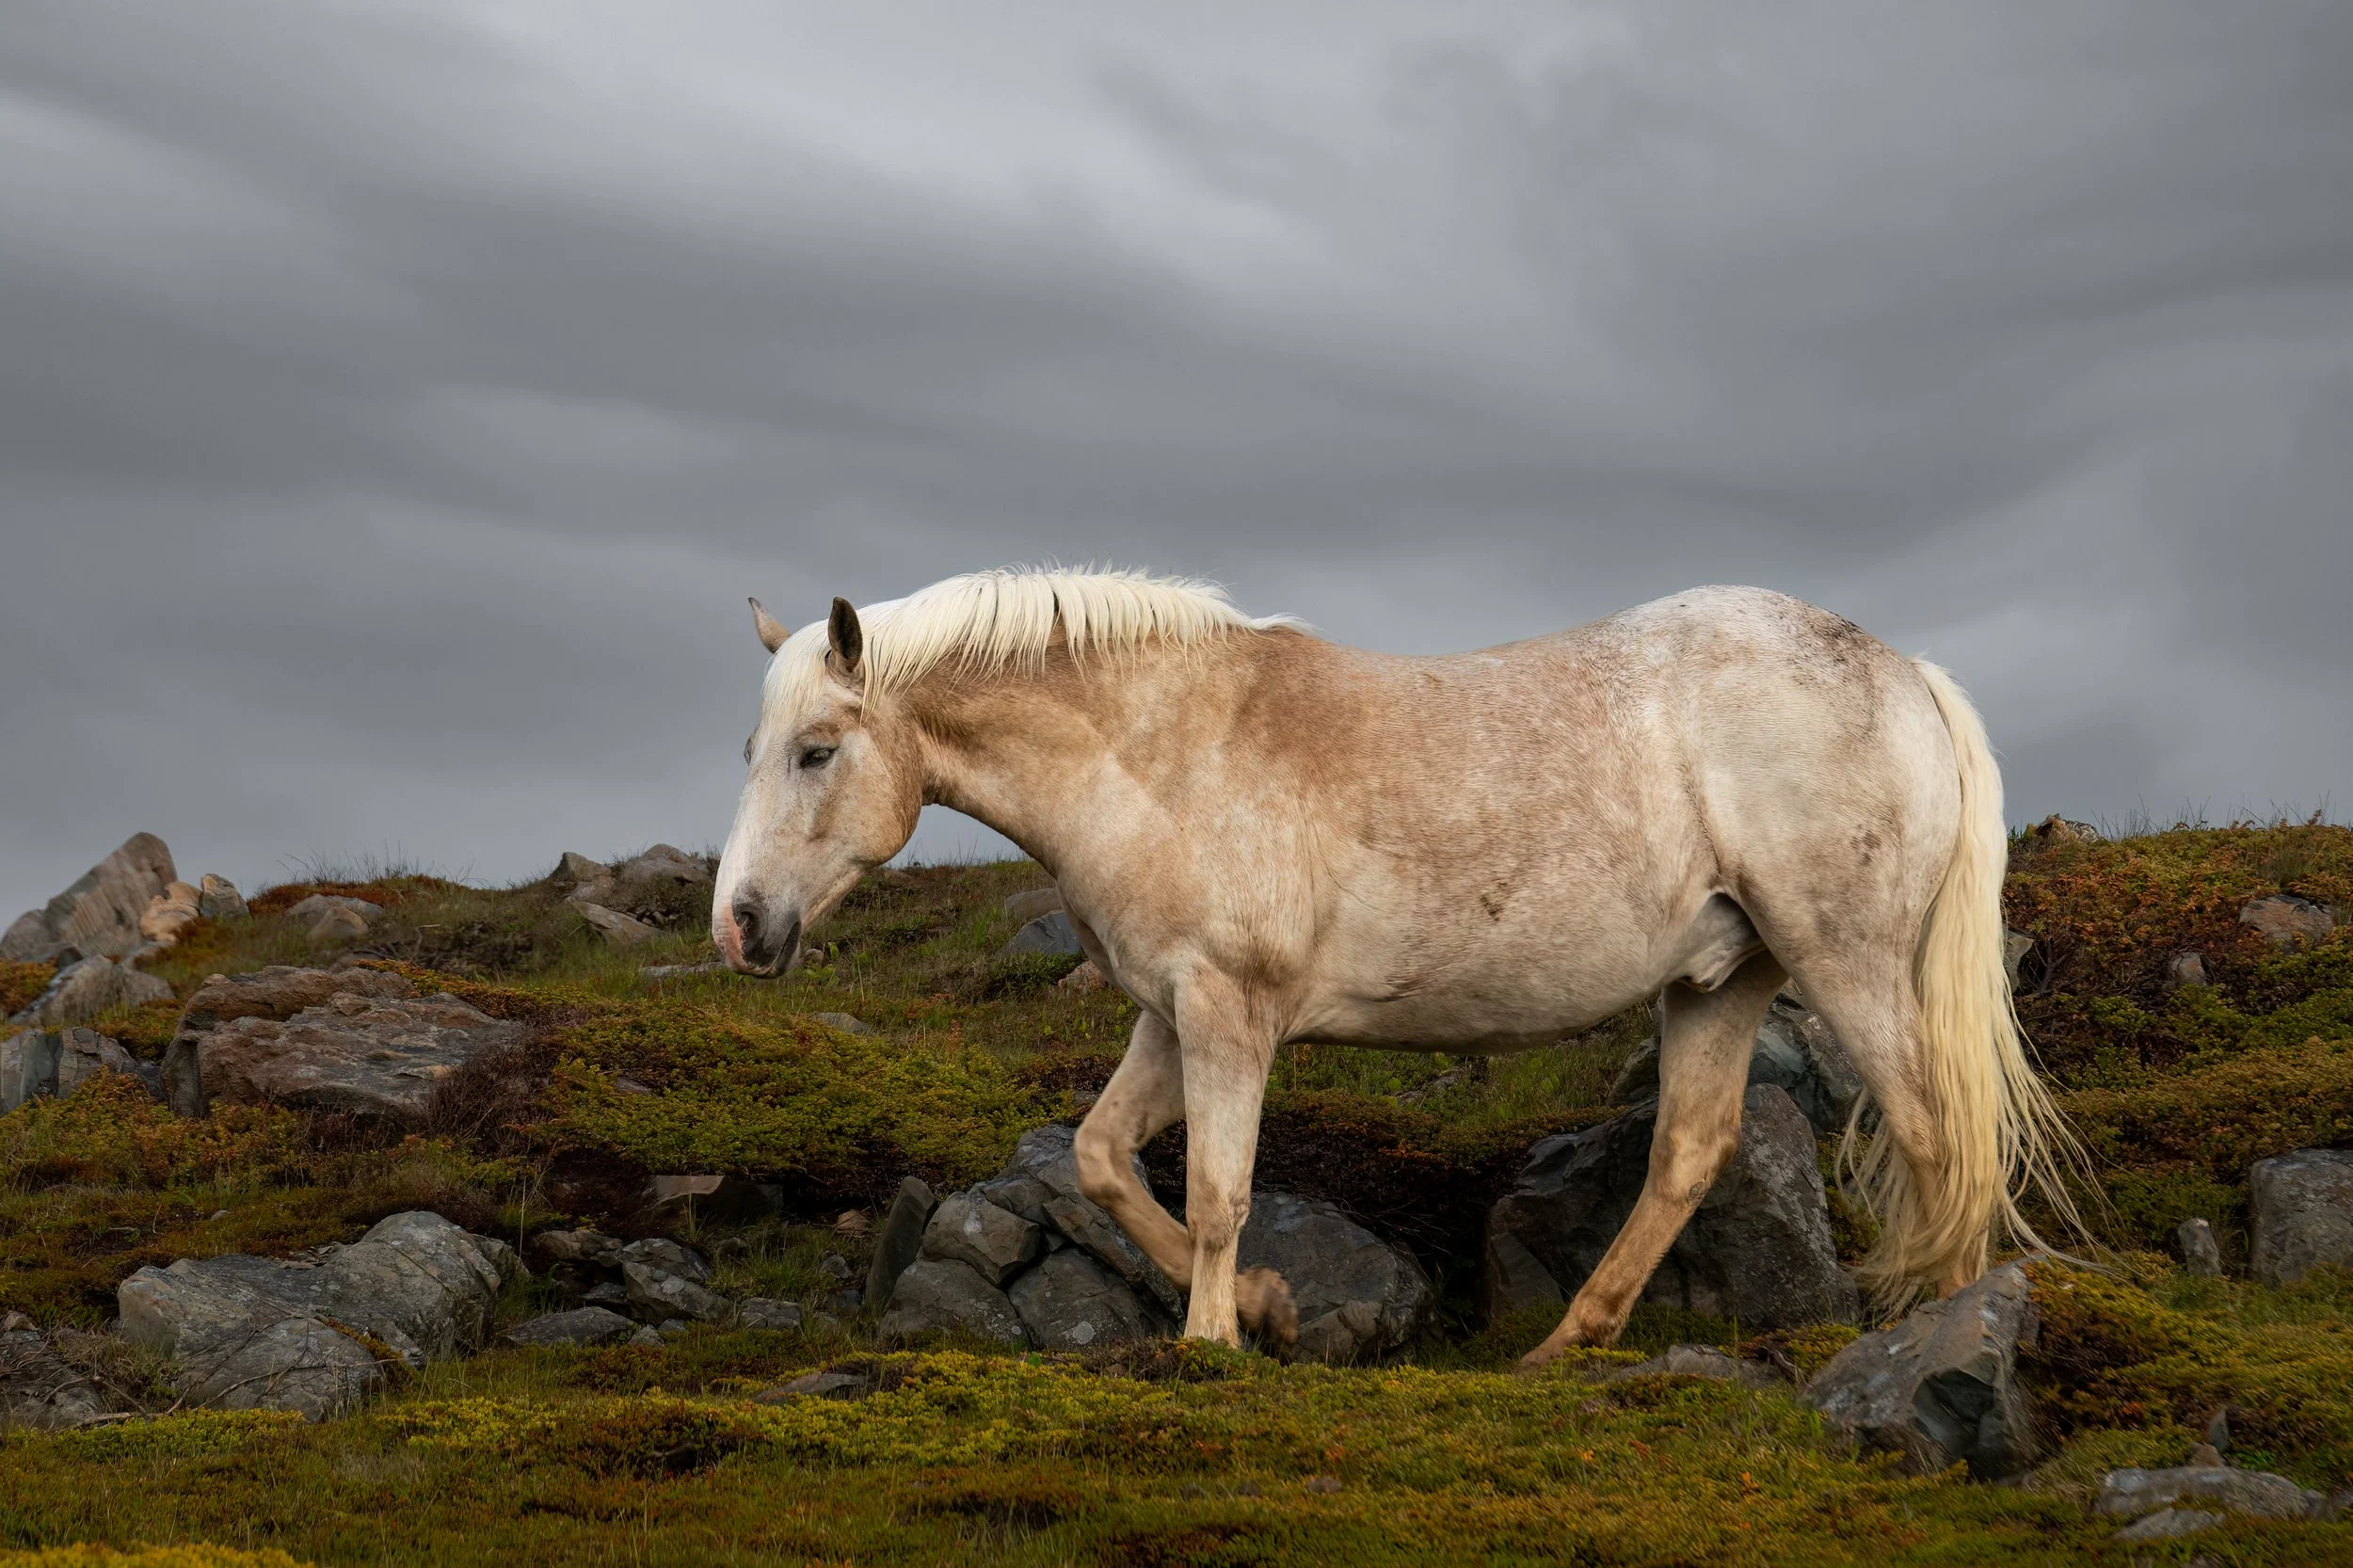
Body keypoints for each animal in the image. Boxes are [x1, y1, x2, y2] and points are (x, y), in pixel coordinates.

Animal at [712, 566, 2079, 1359]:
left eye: (818, 749)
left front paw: (1211, 1346)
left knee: (1933, 1130)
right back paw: (1562, 1351)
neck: (1168, 749)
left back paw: (1940, 1328)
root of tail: (1907, 674)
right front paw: (1266, 1306)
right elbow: (1104, 1159)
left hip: (1843, 963)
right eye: (756, 745)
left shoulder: (1230, 1014)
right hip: (1719, 981)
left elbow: (1215, 1190)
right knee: (1690, 1153)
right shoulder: (1170, 1012)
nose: (739, 926)